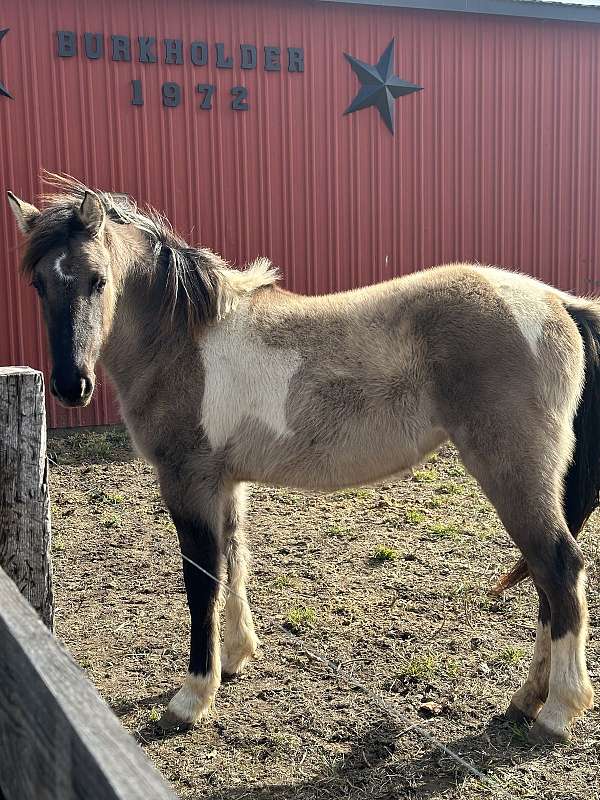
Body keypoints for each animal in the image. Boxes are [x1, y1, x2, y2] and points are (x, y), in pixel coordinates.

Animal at [7, 175, 596, 744]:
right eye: (38, 283)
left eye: (97, 280)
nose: (71, 385)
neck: (185, 341)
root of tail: (557, 302)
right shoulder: (224, 483)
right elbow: (236, 560)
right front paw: (236, 657)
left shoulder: (187, 481)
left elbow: (202, 583)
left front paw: (192, 697)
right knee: (547, 583)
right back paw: (528, 698)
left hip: (512, 473)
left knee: (559, 567)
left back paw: (557, 711)